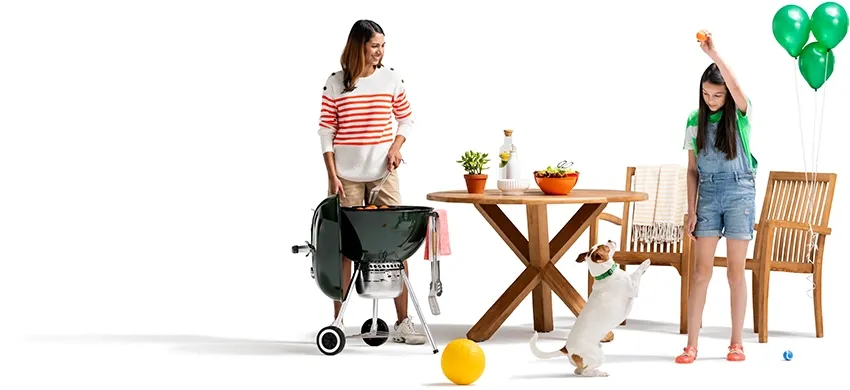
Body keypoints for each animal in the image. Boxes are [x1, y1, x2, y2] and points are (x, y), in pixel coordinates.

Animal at [528, 239, 648, 376]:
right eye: (605, 246)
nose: (610, 240)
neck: (606, 275)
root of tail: (566, 348)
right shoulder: (633, 288)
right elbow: (637, 273)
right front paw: (646, 262)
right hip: (598, 356)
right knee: (586, 372)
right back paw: (600, 373)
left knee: (578, 371)